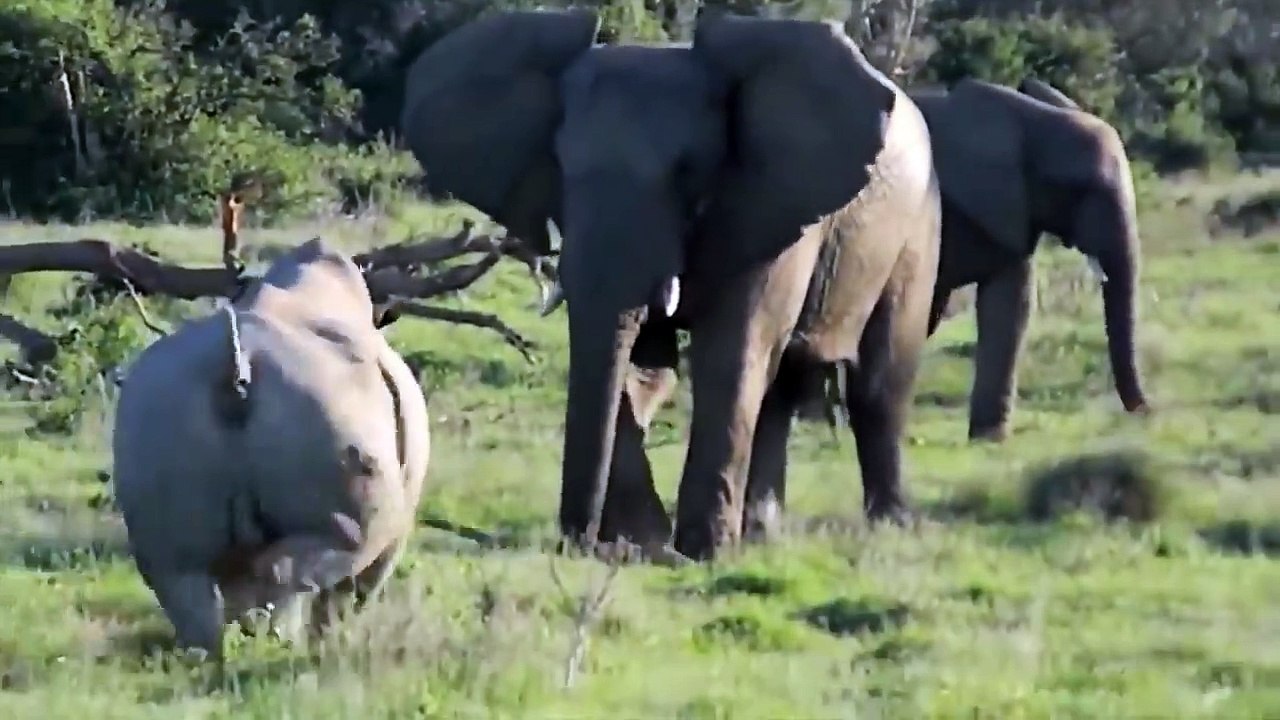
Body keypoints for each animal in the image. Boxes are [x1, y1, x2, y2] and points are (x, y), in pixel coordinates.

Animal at [111, 238, 430, 658]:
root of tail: (236, 366)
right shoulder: (397, 527)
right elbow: (355, 591)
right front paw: (331, 641)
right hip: (324, 408)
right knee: (302, 569)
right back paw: (281, 647)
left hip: (157, 404)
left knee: (175, 568)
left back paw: (212, 654)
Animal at [400, 9, 942, 560]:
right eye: (560, 164)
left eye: (688, 170)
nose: (579, 544)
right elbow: (644, 364)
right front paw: (642, 542)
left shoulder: (768, 203)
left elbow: (731, 352)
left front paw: (701, 554)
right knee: (782, 387)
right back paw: (761, 534)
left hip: (919, 222)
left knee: (880, 380)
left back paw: (888, 527)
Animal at [904, 77, 1152, 441]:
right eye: (1079, 189)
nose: (1147, 411)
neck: (1033, 125)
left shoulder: (1013, 213)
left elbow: (1010, 305)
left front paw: (989, 438)